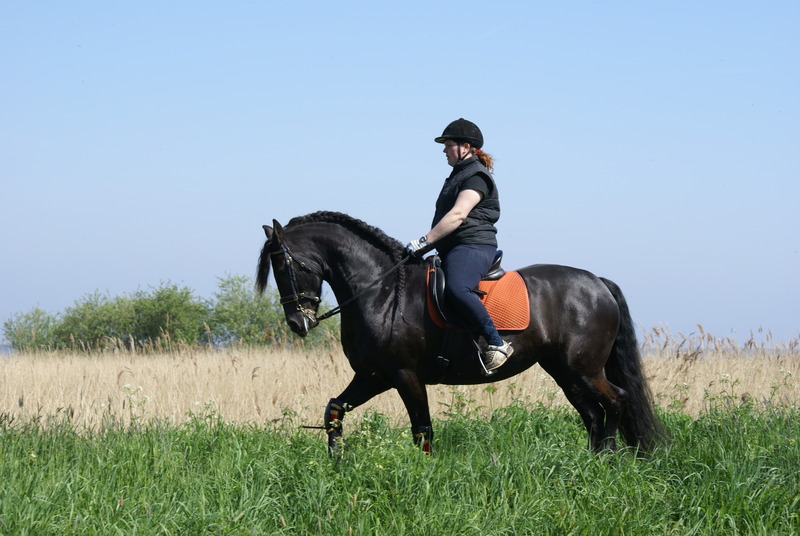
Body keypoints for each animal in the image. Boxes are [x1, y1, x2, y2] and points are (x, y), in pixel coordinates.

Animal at [257, 211, 665, 455]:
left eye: (288, 265)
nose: (298, 324)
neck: (382, 291)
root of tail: (597, 282)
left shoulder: (404, 375)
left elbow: (422, 429)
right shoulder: (373, 375)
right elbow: (334, 411)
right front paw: (336, 463)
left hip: (584, 368)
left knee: (615, 401)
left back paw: (608, 459)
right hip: (563, 370)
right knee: (593, 414)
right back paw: (592, 462)